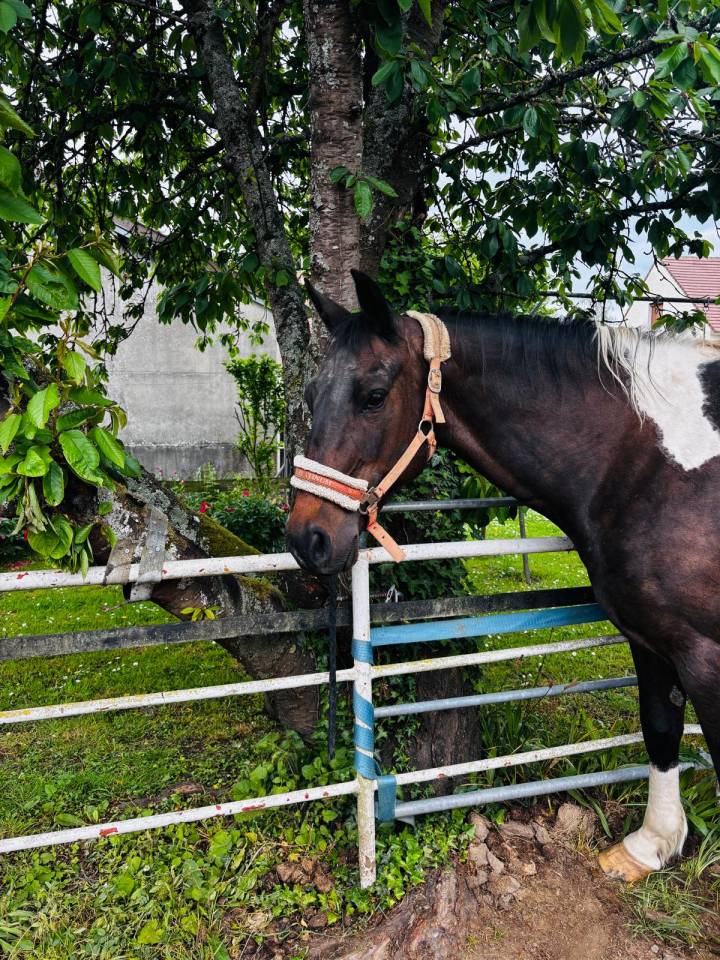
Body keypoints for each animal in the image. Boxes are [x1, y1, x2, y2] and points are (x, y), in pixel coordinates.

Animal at [286, 269, 720, 882]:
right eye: (310, 397)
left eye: (373, 397)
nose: (307, 539)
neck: (650, 464)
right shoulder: (655, 639)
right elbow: (660, 725)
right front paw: (651, 845)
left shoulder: (706, 653)